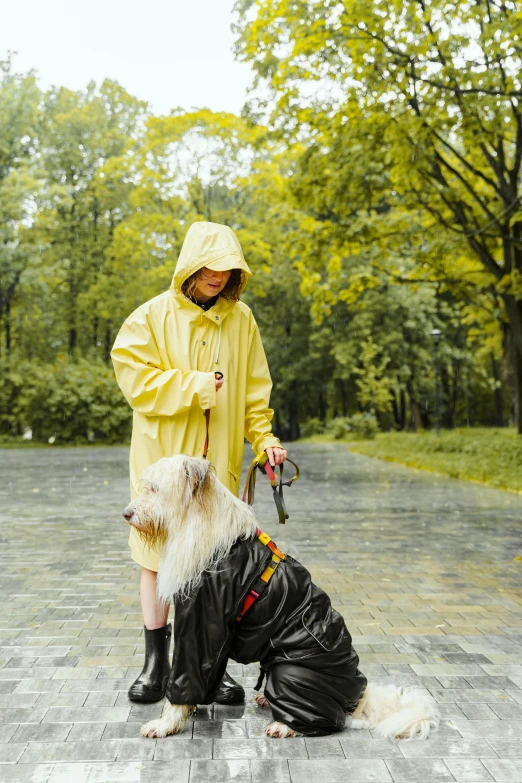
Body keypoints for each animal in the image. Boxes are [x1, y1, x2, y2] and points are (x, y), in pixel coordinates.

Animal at [123, 454, 438, 740]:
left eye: (155, 489)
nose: (127, 514)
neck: (201, 524)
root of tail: (359, 697)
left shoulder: (201, 623)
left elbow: (186, 678)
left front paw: (166, 721)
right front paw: (190, 709)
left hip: (293, 674)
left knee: (329, 721)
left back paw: (285, 724)